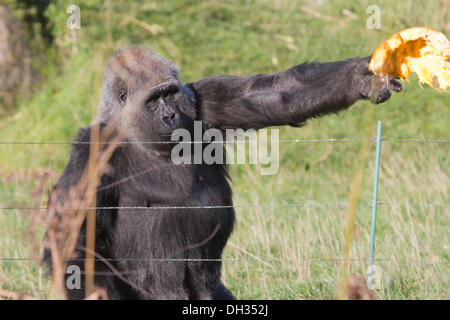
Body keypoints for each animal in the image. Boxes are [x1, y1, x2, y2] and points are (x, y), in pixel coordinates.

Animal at [41, 46, 400, 298]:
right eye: (153, 100)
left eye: (170, 94)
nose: (170, 116)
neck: (133, 128)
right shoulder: (90, 153)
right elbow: (72, 242)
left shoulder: (203, 98)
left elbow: (278, 95)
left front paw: (363, 76)